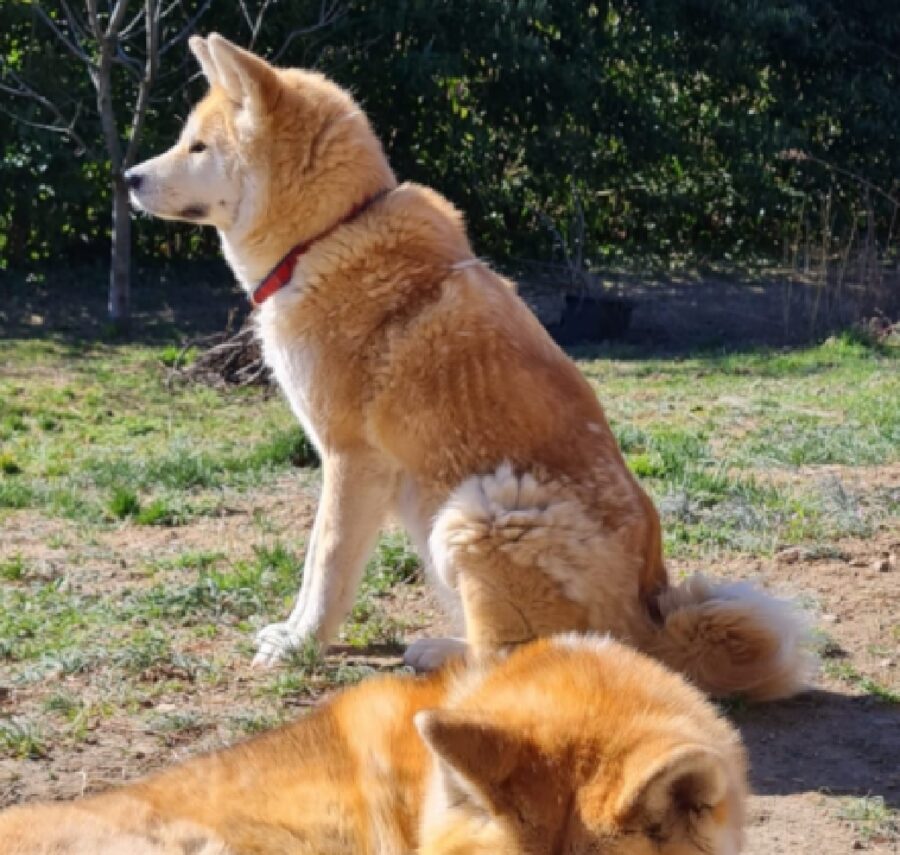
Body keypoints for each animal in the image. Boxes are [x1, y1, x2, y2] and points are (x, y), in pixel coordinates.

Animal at [125, 35, 808, 704]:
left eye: (198, 145)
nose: (128, 177)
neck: (327, 235)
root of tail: (653, 635)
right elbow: (320, 567)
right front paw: (296, 637)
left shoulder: (350, 460)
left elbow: (324, 566)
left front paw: (298, 645)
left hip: (480, 509)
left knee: (513, 659)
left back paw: (438, 660)